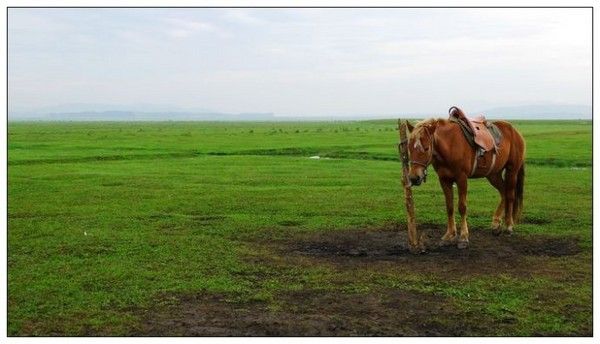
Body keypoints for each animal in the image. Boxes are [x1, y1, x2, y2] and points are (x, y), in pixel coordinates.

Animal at [408, 106, 524, 249]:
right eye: (409, 147)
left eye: (426, 148)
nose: (414, 177)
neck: (449, 145)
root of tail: (515, 131)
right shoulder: (444, 180)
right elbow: (449, 207)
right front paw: (449, 235)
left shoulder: (461, 178)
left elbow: (462, 207)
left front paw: (463, 237)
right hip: (493, 174)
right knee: (503, 192)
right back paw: (496, 224)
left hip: (512, 171)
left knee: (510, 195)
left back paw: (509, 226)